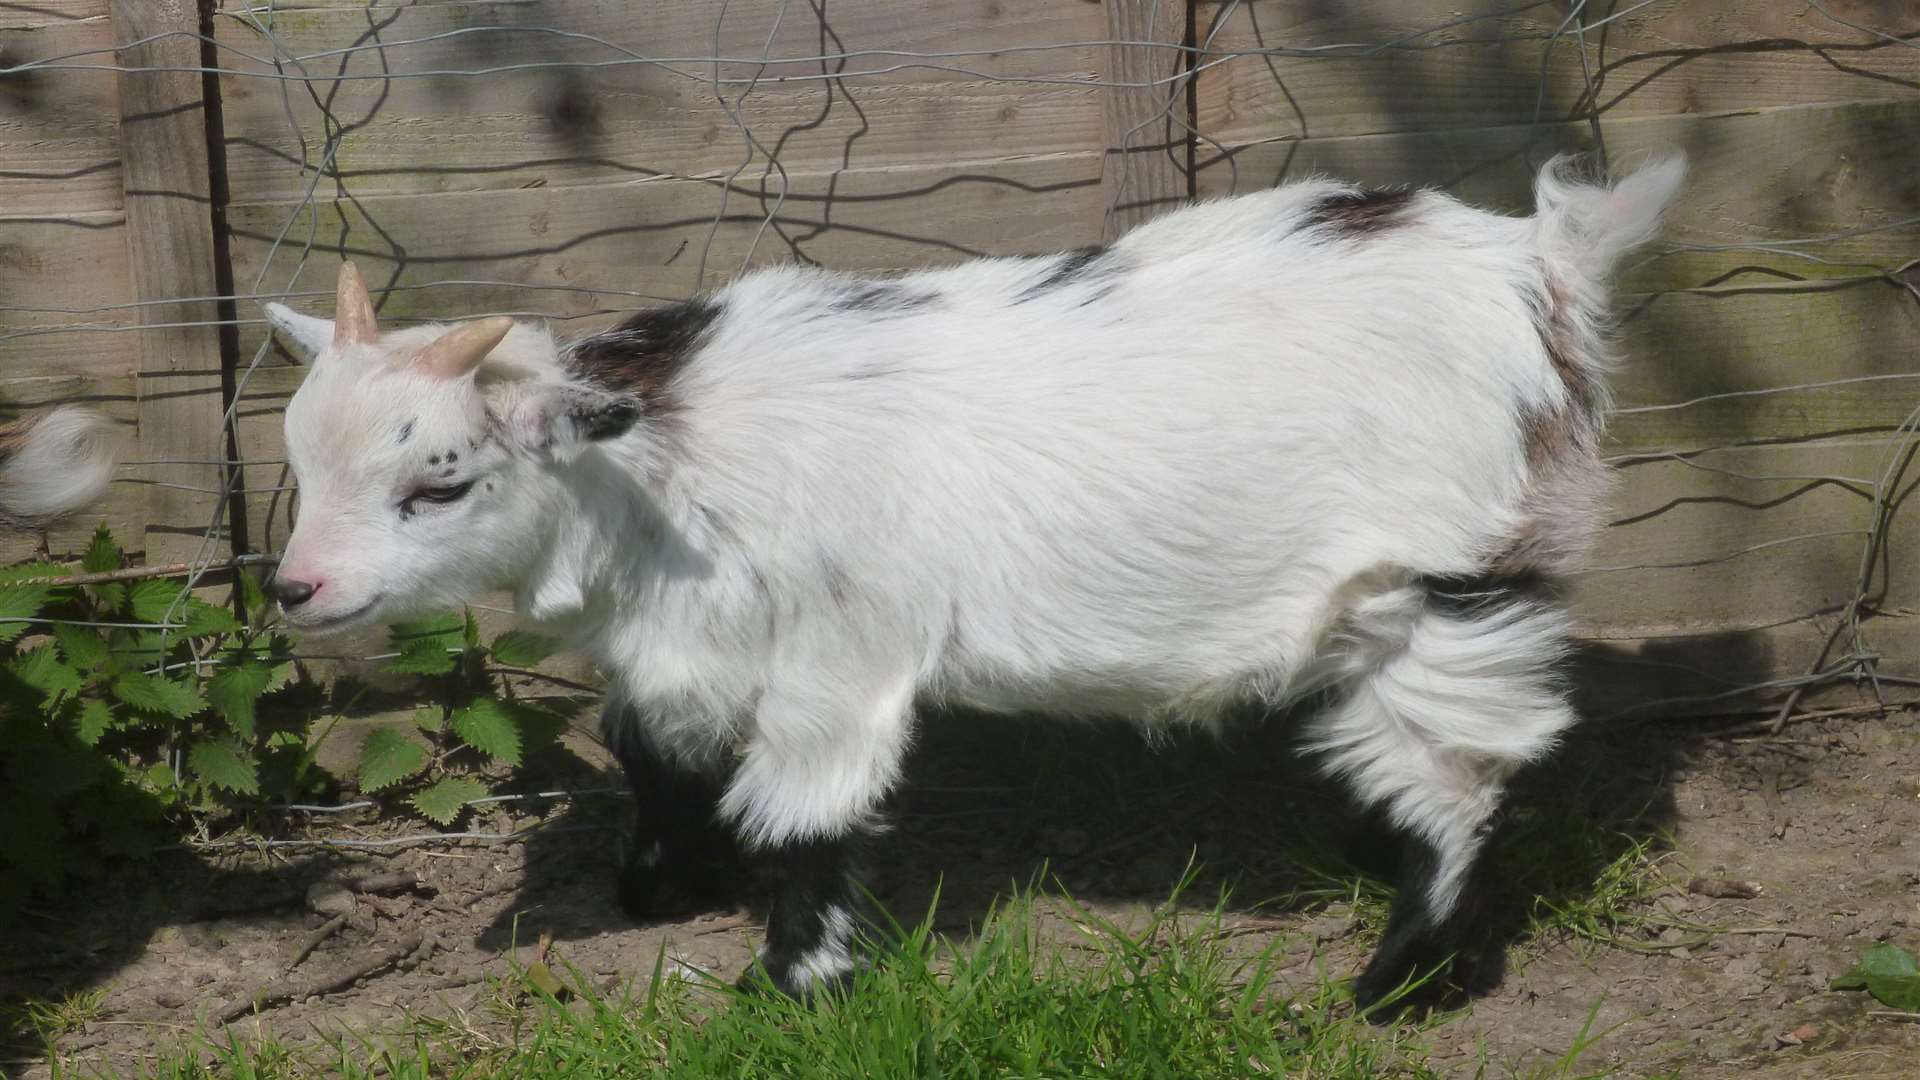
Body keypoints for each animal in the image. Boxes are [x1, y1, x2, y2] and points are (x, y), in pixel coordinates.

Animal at [266, 155, 1681, 1014]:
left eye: (439, 483)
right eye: (297, 456)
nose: (294, 591)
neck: (672, 463)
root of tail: (1546, 266)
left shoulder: (837, 656)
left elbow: (807, 817)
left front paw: (792, 986)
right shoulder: (695, 644)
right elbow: (655, 749)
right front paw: (659, 887)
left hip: (1454, 570)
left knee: (1458, 770)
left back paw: (1399, 978)